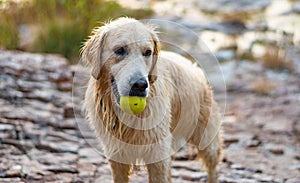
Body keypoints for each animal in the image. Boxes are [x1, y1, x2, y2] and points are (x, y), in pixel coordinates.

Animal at [82, 17, 223, 183]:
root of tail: (194, 66)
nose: (140, 85)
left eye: (147, 52)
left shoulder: (158, 151)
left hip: (205, 133)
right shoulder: (115, 152)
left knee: (212, 164)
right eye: (120, 50)